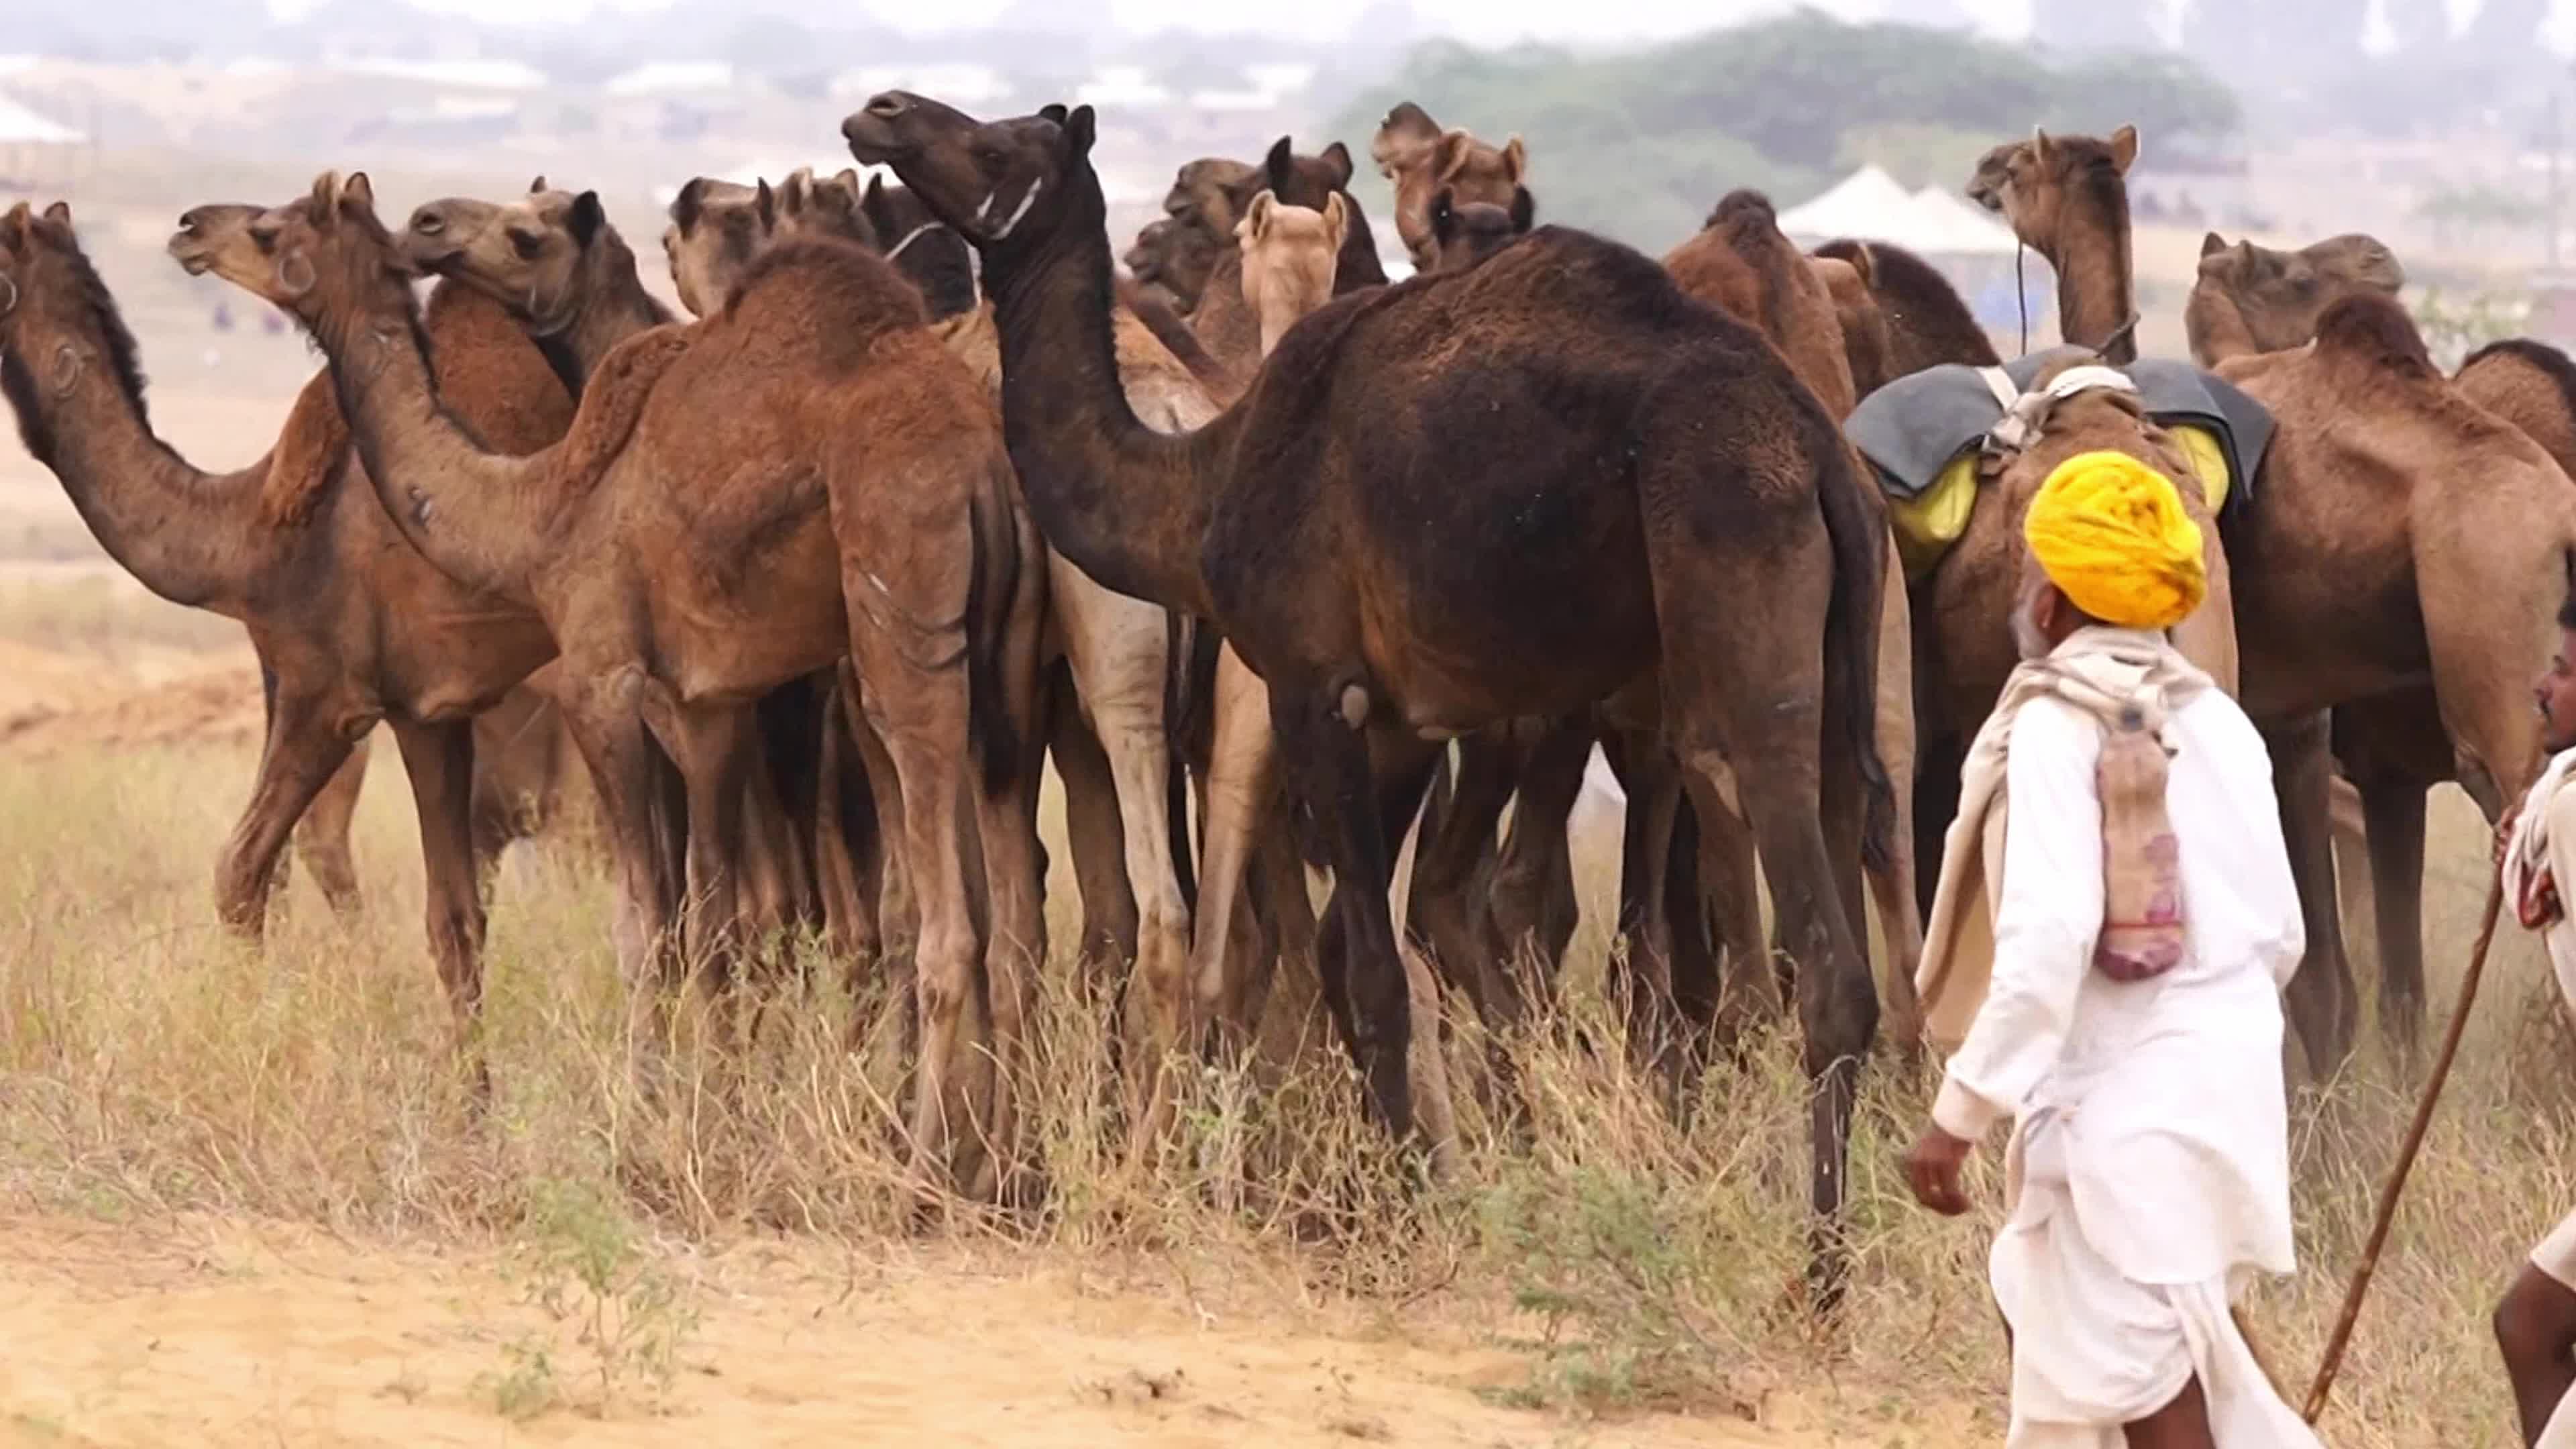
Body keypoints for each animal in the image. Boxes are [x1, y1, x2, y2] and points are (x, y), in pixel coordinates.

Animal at [0, 199, 590, 1059]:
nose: (188, 225)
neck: (250, 532)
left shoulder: (329, 694)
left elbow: (241, 872)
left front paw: (250, 1033)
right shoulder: (413, 707)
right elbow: (449, 919)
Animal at [204, 172, 1047, 1196]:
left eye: (271, 228)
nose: (191, 231)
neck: (542, 508)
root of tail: (980, 468)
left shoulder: (604, 676)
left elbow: (646, 928)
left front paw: (641, 1128)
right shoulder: (705, 700)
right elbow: (716, 924)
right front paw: (713, 1120)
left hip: (903, 622)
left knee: (944, 924)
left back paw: (918, 1171)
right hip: (1007, 667)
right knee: (1010, 911)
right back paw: (999, 1158)